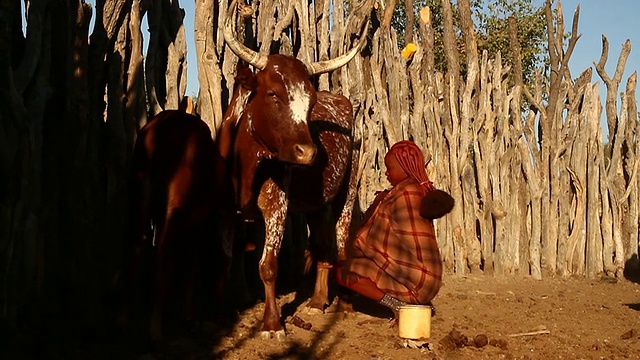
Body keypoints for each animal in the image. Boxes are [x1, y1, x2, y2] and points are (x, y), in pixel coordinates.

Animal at [121, 98, 229, 340]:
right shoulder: (199, 221)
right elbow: (192, 266)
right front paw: (187, 314)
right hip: (174, 209)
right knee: (163, 253)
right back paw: (155, 328)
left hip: (141, 200)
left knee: (137, 247)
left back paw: (124, 319)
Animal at [216, 0, 364, 340]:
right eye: (273, 93)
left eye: (309, 101)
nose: (307, 152)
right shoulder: (227, 208)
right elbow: (227, 260)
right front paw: (221, 313)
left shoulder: (277, 206)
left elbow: (268, 265)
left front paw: (272, 323)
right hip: (316, 203)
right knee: (322, 244)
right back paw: (318, 300)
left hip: (347, 193)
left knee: (340, 244)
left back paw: (344, 302)